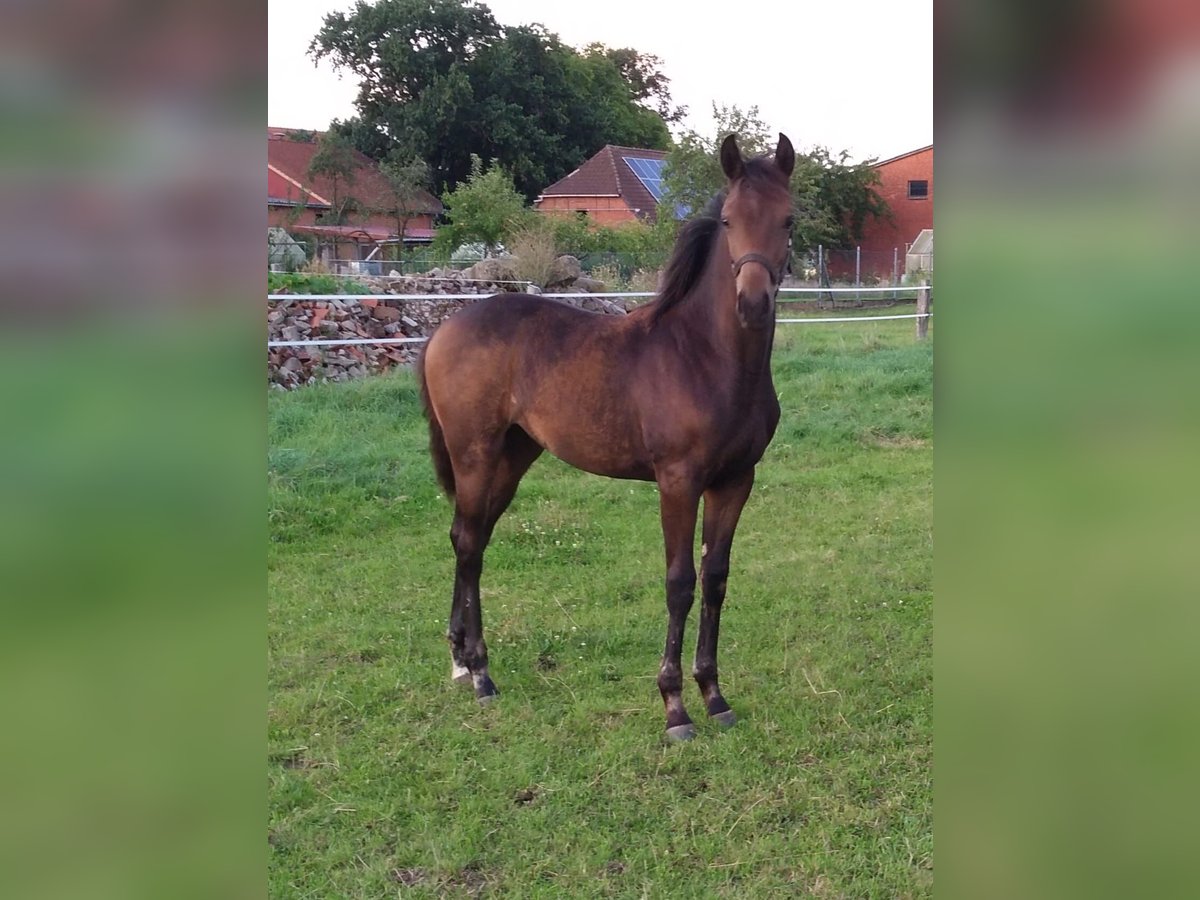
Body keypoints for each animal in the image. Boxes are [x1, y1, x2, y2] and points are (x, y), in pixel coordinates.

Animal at [415, 132, 796, 739]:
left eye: (789, 220)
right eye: (729, 220)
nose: (753, 304)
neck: (705, 358)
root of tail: (444, 329)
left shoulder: (736, 480)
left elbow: (715, 578)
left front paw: (714, 696)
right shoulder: (678, 481)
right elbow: (680, 582)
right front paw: (674, 707)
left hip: (515, 455)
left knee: (470, 538)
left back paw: (459, 659)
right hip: (474, 453)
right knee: (469, 541)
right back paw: (480, 674)